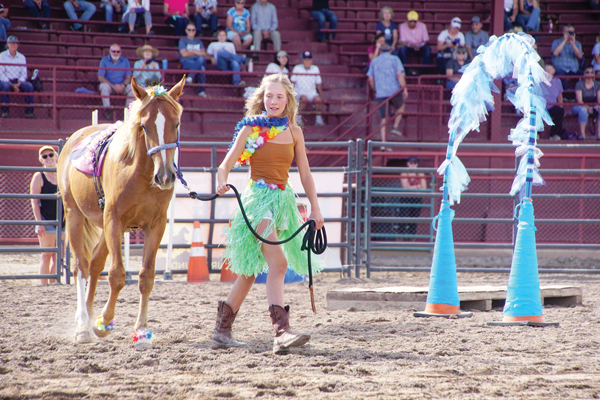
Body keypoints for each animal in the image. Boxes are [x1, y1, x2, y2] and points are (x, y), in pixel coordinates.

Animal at [59, 76, 186, 348]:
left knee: (95, 264)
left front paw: (142, 330)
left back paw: (87, 316)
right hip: (76, 216)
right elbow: (117, 274)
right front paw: (104, 322)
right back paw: (83, 326)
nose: (166, 176)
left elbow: (146, 277)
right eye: (144, 126)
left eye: (177, 123)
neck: (141, 174)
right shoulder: (114, 220)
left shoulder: (156, 225)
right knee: (81, 267)